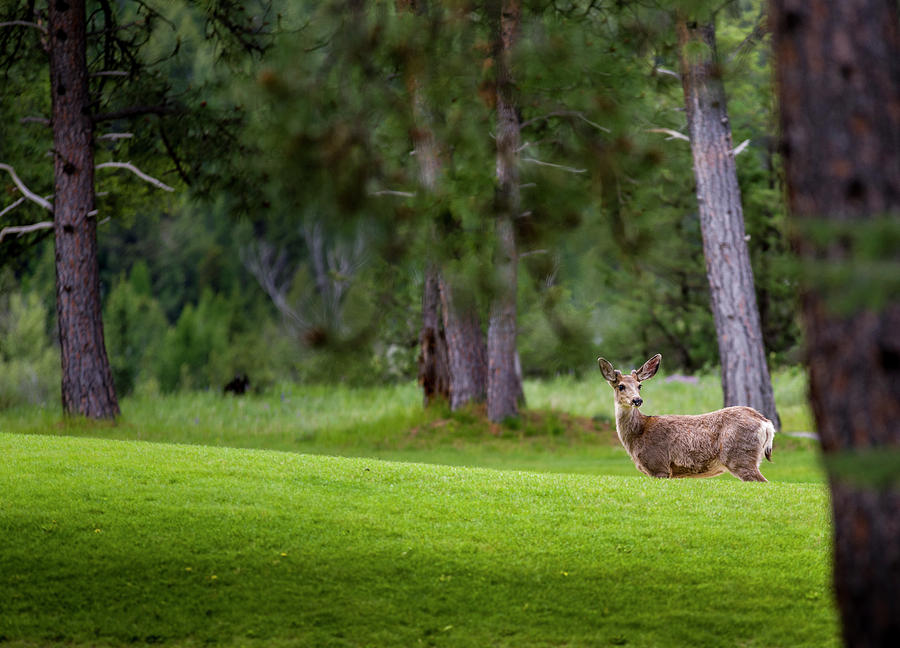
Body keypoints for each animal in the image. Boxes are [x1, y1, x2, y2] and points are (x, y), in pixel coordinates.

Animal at [598, 354, 775, 482]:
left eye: (639, 386)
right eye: (621, 386)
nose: (637, 400)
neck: (639, 433)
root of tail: (766, 424)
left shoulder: (658, 465)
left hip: (739, 456)